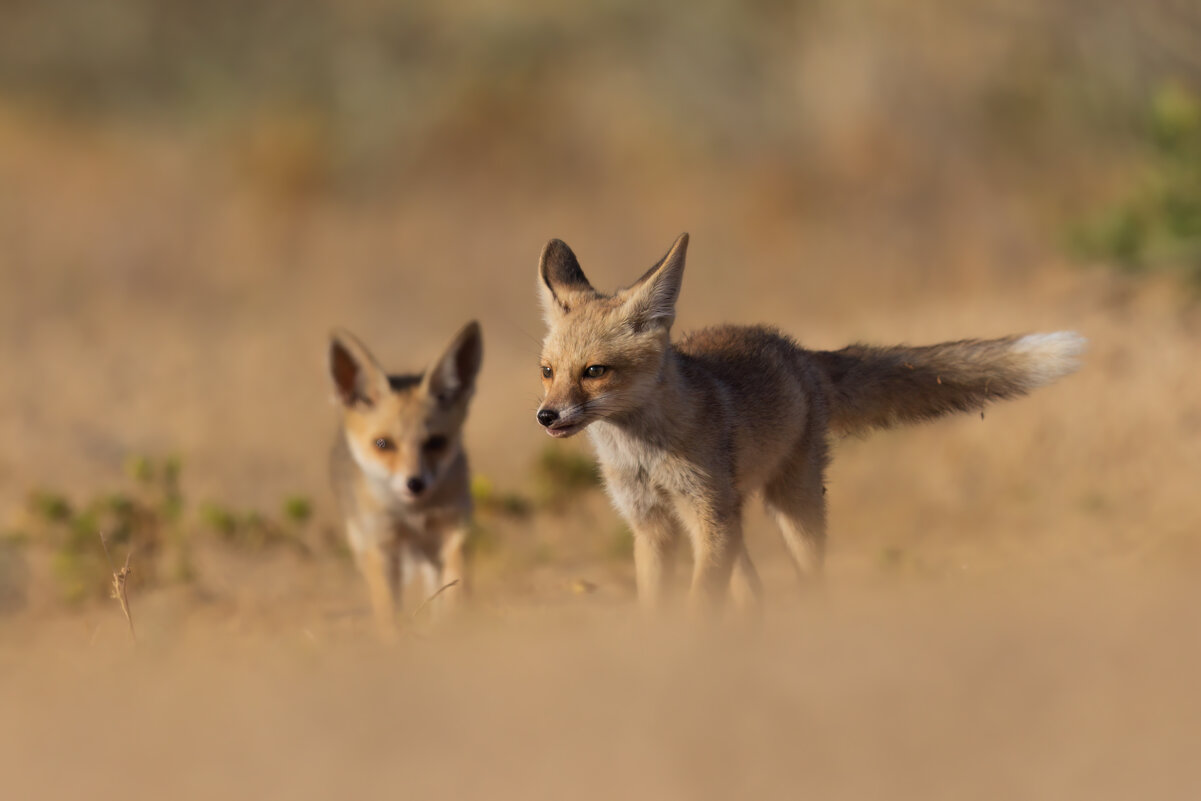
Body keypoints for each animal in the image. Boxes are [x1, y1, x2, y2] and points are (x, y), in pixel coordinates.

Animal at [329, 321, 482, 634]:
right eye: (383, 444)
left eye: (435, 442)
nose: (415, 484)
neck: (414, 515)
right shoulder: (380, 544)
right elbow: (387, 607)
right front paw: (394, 640)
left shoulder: (455, 528)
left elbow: (456, 585)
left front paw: (455, 627)